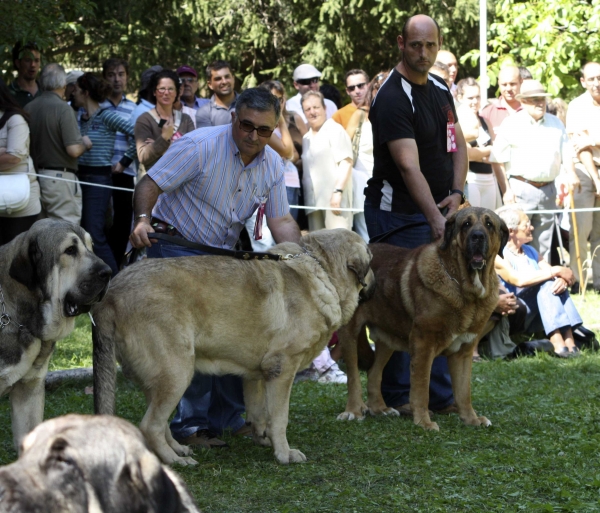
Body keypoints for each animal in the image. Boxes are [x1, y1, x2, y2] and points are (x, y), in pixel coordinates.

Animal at [91, 228, 372, 464]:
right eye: (370, 256)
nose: (376, 279)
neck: (322, 268)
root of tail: (110, 295)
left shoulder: (257, 375)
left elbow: (259, 412)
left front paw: (263, 439)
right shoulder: (282, 370)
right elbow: (280, 418)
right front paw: (284, 453)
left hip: (162, 379)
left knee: (159, 424)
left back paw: (177, 450)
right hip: (177, 373)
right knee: (150, 425)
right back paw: (174, 460)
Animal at [338, 206, 506, 430]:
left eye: (489, 224)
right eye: (466, 224)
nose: (478, 236)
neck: (465, 289)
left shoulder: (464, 350)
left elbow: (464, 392)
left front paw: (472, 419)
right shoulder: (423, 343)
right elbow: (421, 388)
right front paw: (424, 422)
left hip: (388, 337)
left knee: (374, 373)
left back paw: (380, 409)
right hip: (350, 333)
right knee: (353, 376)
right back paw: (353, 411)